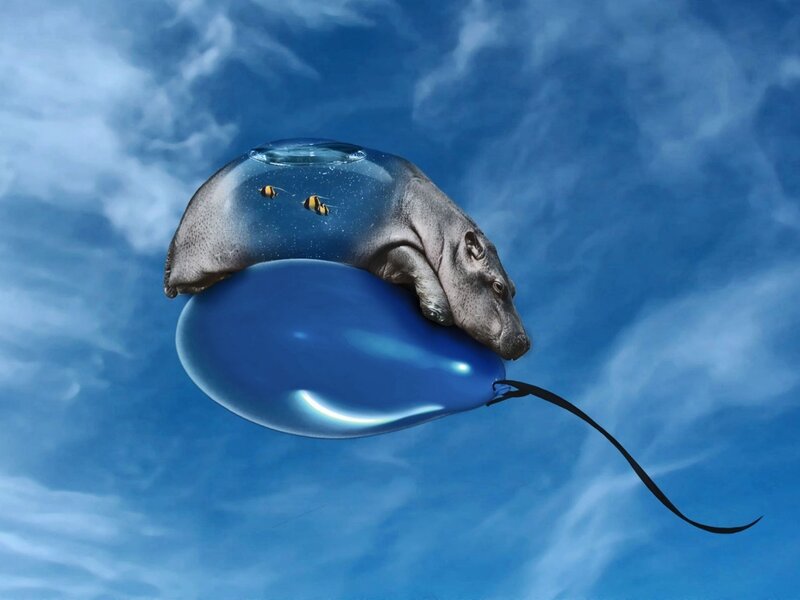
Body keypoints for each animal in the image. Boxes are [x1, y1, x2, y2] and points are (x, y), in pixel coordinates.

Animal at [164, 138, 530, 360]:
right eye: (498, 286)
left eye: (514, 287)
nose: (526, 342)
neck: (443, 236)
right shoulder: (390, 244)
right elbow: (416, 261)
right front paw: (439, 312)